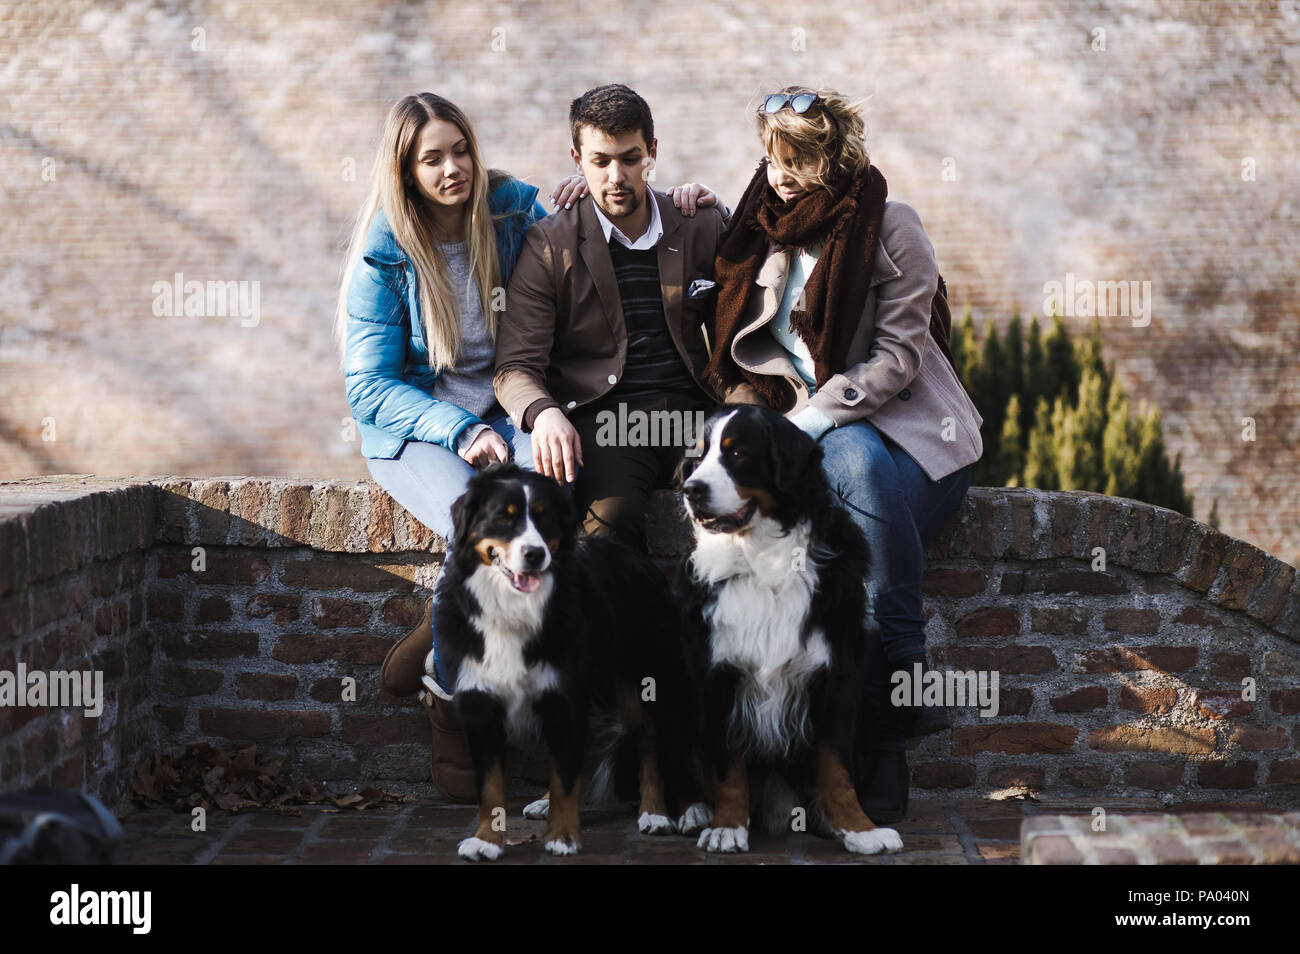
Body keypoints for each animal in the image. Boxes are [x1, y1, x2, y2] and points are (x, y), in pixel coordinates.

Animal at [431, 465, 707, 868]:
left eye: (545, 519)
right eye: (503, 518)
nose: (534, 554)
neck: (514, 610)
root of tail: (639, 558)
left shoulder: (564, 695)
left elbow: (566, 778)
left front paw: (562, 838)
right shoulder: (483, 701)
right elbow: (493, 787)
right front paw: (485, 841)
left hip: (650, 675)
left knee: (656, 742)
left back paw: (669, 811)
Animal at [681, 405, 904, 857]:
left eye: (737, 453)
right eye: (697, 457)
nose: (690, 489)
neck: (762, 559)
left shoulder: (838, 677)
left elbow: (836, 769)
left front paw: (860, 830)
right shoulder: (716, 675)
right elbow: (728, 767)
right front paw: (726, 827)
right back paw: (694, 810)